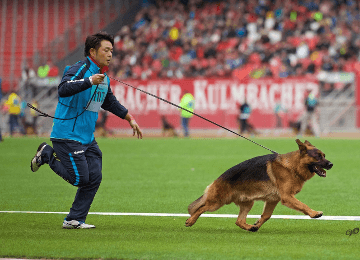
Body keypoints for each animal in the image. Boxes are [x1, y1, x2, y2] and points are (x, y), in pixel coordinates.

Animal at [187, 140, 334, 232]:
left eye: (324, 155)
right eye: (318, 157)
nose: (331, 164)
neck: (292, 166)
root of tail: (217, 180)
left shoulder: (273, 200)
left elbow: (266, 215)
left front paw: (257, 224)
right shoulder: (287, 197)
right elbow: (303, 205)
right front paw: (314, 213)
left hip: (247, 203)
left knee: (239, 221)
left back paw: (250, 227)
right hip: (217, 202)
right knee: (200, 208)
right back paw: (191, 221)